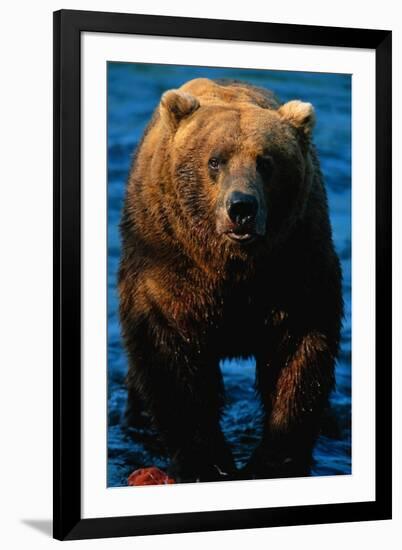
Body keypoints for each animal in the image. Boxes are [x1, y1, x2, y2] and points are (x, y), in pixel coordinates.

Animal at [119, 77, 342, 484]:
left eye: (266, 162)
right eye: (214, 160)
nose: (241, 207)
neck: (229, 266)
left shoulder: (297, 263)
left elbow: (299, 357)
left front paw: (273, 461)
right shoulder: (167, 269)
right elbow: (172, 365)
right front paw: (207, 462)